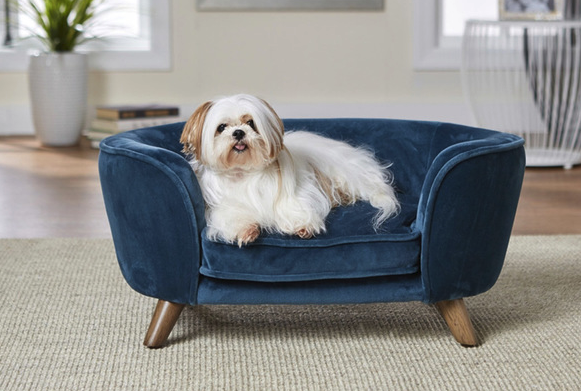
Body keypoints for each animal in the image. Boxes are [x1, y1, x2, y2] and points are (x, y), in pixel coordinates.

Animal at [181, 94, 398, 247]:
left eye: (251, 123)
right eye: (222, 127)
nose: (239, 132)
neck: (243, 171)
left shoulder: (296, 192)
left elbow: (292, 205)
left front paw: (302, 225)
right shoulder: (221, 206)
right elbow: (232, 215)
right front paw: (245, 230)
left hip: (347, 174)